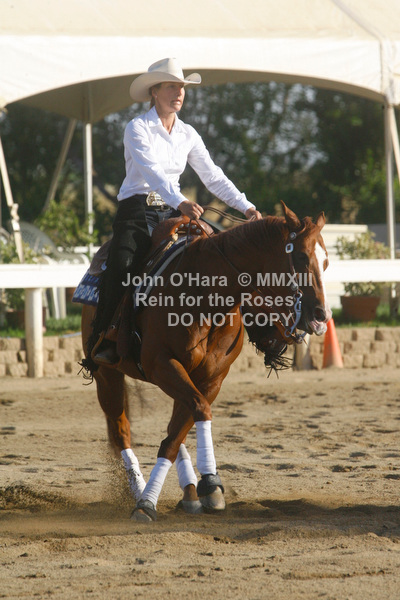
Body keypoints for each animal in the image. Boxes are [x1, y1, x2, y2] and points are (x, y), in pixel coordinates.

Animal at [80, 202, 331, 521]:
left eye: (326, 262)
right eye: (300, 257)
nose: (321, 316)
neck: (202, 297)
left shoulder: (211, 378)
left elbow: (180, 431)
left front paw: (205, 488)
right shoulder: (162, 364)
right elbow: (196, 414)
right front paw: (153, 500)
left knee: (173, 429)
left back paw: (187, 493)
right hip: (107, 376)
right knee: (120, 431)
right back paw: (138, 487)